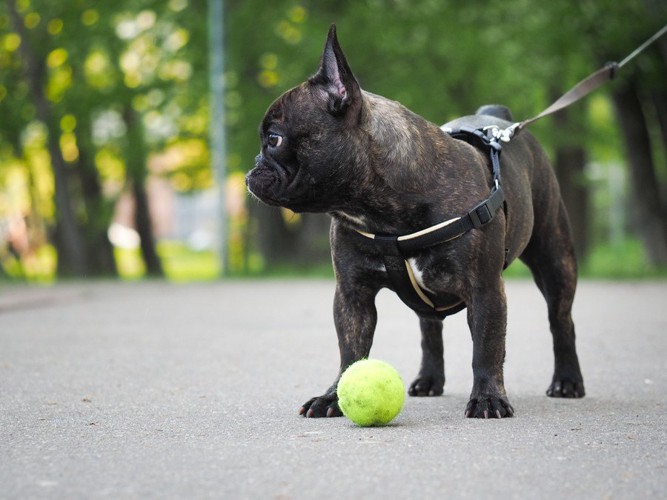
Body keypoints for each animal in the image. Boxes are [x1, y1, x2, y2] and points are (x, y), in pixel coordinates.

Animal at [245, 24, 584, 418]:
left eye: (273, 139)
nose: (251, 170)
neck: (384, 209)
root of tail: (497, 119)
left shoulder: (485, 288)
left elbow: (486, 346)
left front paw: (488, 398)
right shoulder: (352, 294)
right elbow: (350, 349)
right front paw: (333, 396)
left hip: (553, 258)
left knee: (561, 321)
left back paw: (567, 381)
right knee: (429, 329)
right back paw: (429, 379)